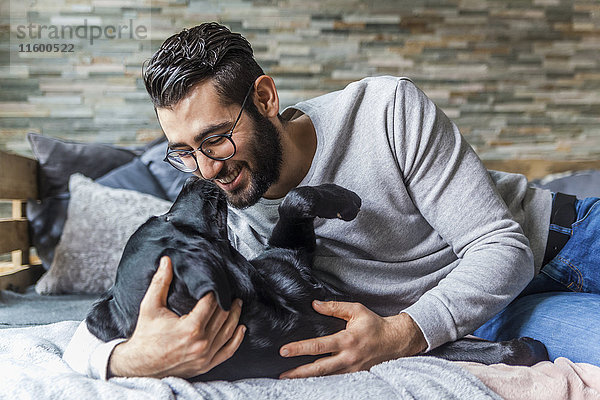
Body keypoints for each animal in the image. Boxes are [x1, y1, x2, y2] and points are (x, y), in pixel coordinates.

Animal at [86, 177, 552, 380]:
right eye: (166, 220)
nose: (190, 178)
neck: (270, 297)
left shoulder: (286, 254)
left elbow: (296, 198)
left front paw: (346, 201)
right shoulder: (362, 336)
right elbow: (451, 346)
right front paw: (525, 348)